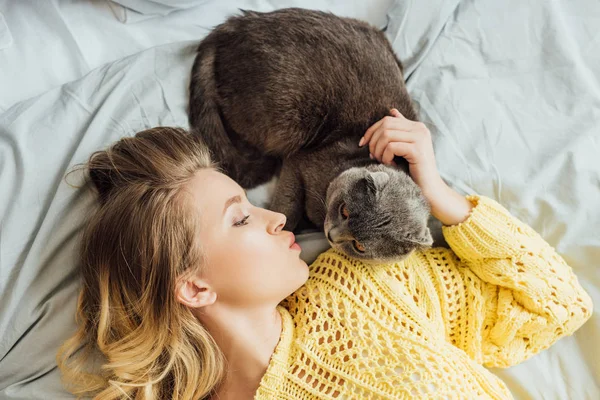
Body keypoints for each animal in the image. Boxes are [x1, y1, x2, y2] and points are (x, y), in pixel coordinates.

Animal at [190, 8, 434, 262]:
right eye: (344, 211)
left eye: (359, 246)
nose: (332, 235)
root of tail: (229, 28)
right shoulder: (299, 163)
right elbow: (288, 205)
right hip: (285, 120)